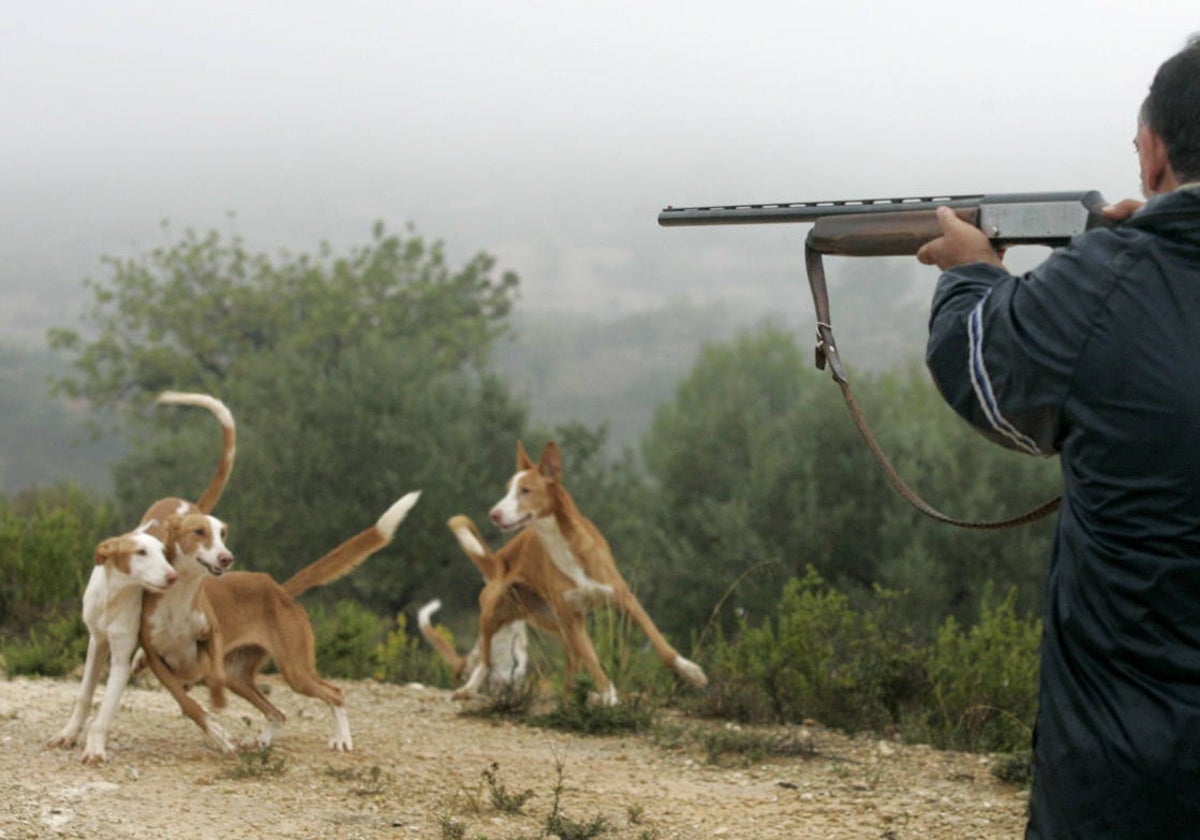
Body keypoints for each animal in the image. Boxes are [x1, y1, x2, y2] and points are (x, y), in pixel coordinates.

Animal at [48, 528, 177, 763]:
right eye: (141, 552)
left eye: (163, 553)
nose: (173, 576)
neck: (113, 596)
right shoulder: (96, 643)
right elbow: (84, 695)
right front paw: (69, 733)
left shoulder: (120, 661)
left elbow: (106, 709)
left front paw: (95, 748)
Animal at [453, 444, 705, 705]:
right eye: (507, 490)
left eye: (525, 490)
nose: (493, 514)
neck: (561, 544)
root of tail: (497, 560)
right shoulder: (574, 620)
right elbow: (592, 660)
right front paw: (609, 696)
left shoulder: (624, 598)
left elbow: (658, 641)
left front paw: (689, 671)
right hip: (494, 612)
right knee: (485, 658)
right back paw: (469, 688)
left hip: (556, 624)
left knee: (569, 670)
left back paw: (574, 697)